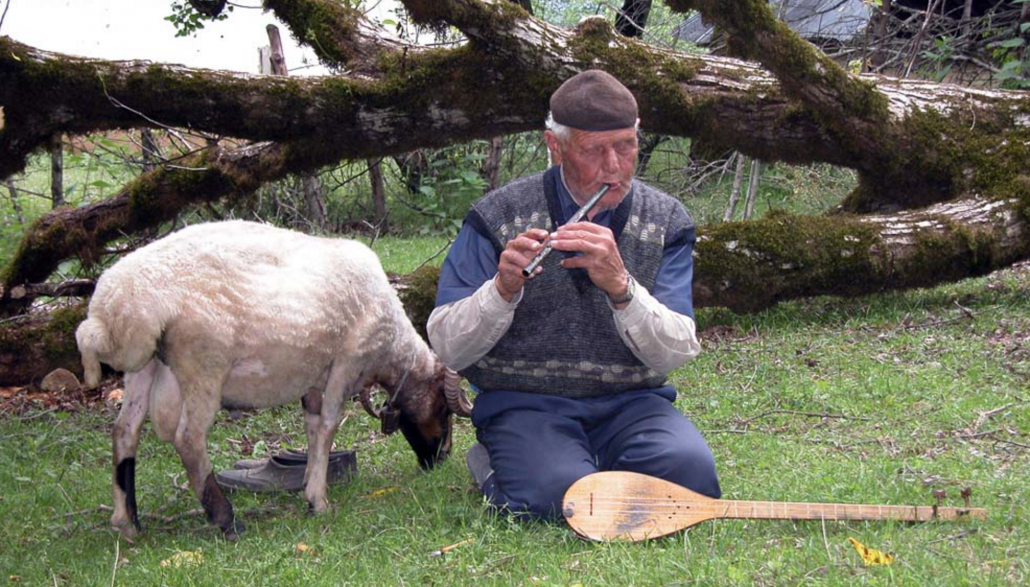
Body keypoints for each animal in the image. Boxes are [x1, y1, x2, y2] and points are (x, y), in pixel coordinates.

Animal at [76, 218, 471, 535]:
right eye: (443, 410)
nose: (441, 459)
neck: (390, 347)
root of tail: (112, 311)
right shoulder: (346, 363)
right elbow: (329, 426)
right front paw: (318, 501)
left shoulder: (314, 379)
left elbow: (313, 428)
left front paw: (310, 482)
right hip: (203, 365)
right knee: (188, 438)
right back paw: (225, 520)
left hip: (144, 367)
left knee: (125, 432)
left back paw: (127, 522)